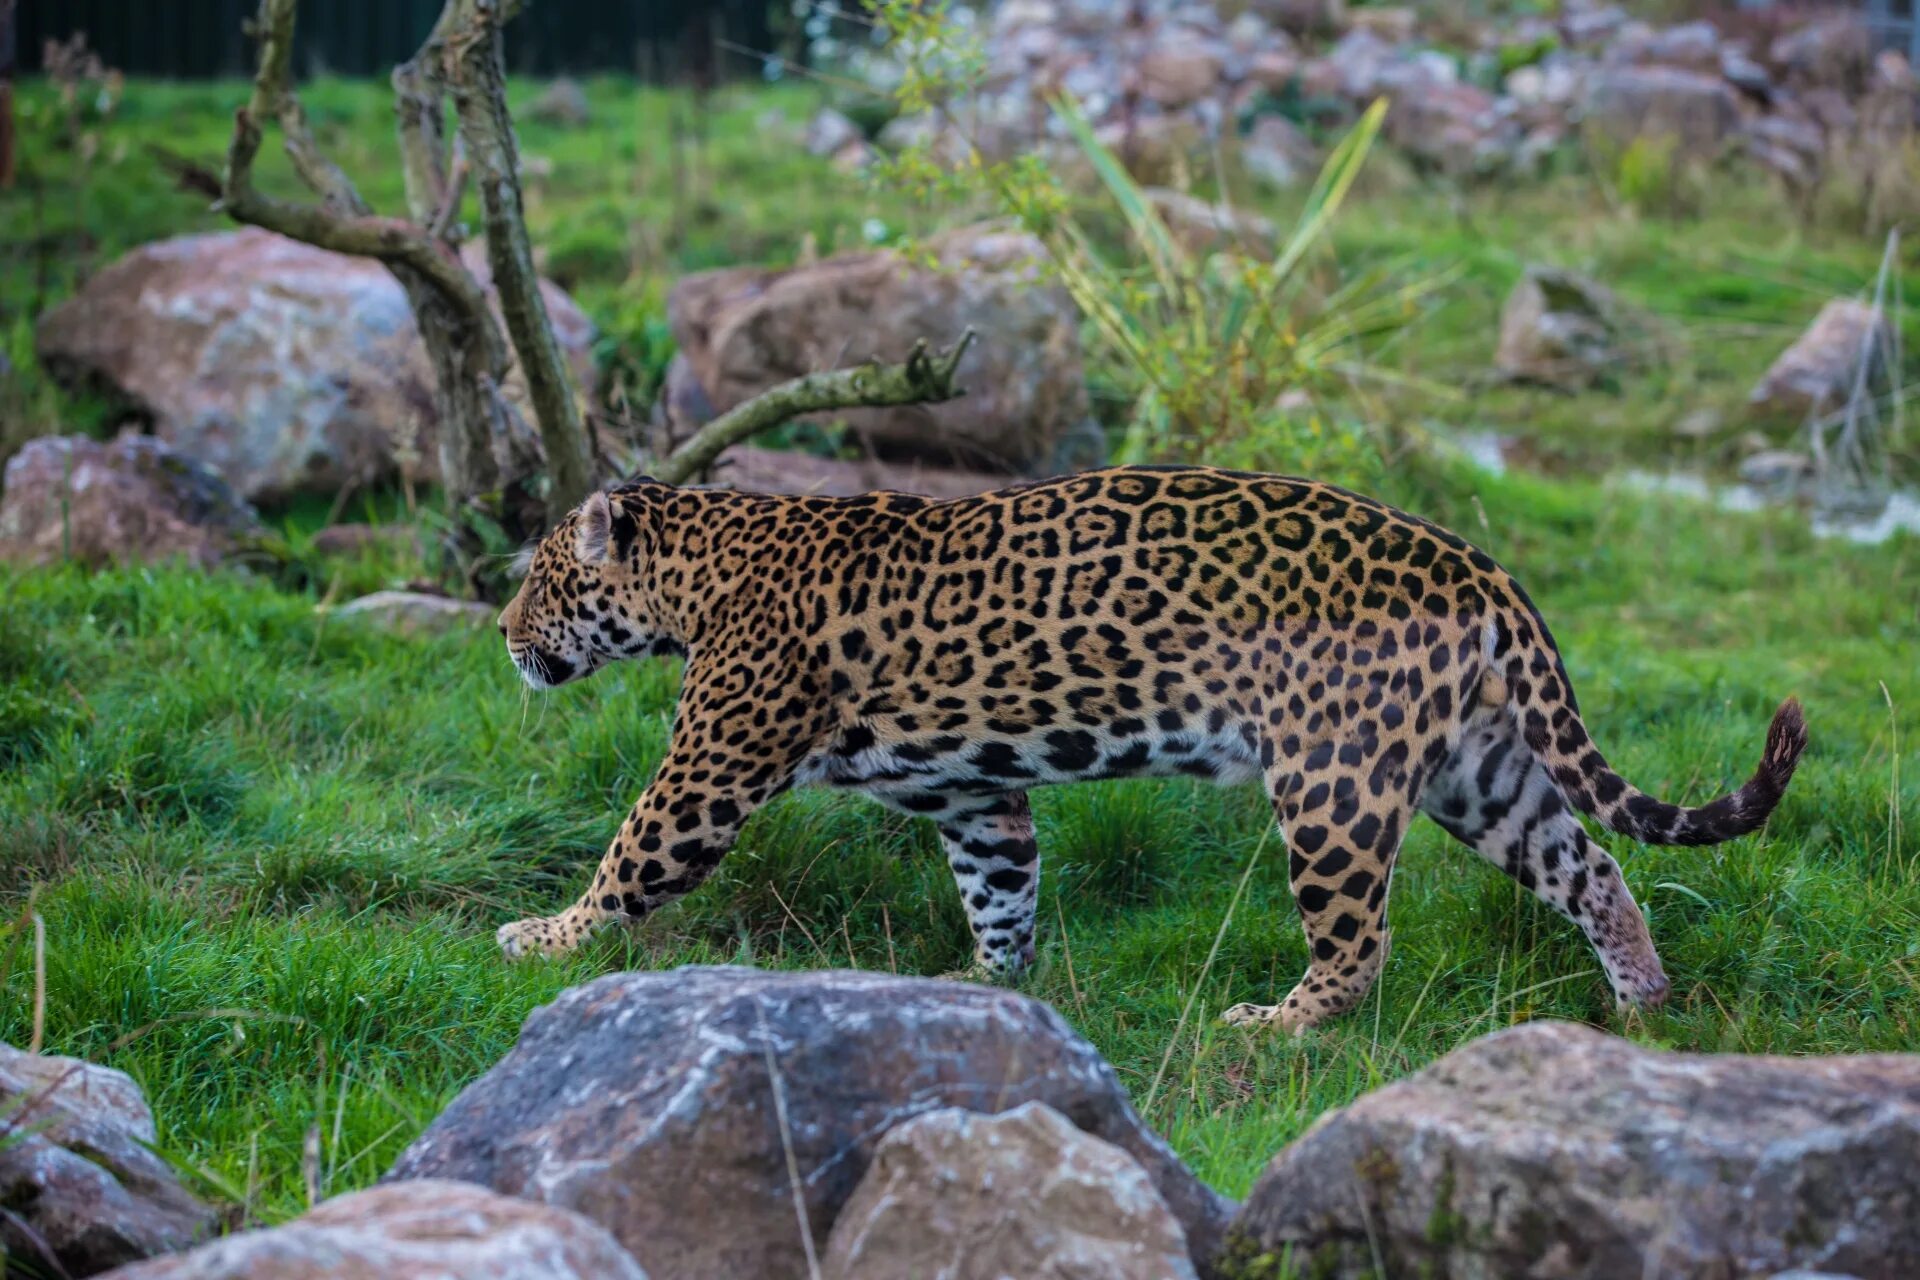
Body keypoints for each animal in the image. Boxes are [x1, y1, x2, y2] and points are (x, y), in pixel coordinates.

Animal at [491, 466, 1797, 1036]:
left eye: (540, 578)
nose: (502, 635)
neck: (698, 568)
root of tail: (1478, 566)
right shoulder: (974, 792)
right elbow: (1001, 887)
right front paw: (986, 988)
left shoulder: (710, 765)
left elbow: (631, 853)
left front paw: (544, 938)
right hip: (1480, 766)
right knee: (1592, 865)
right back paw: (1643, 998)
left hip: (1331, 779)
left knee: (1360, 937)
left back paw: (1278, 1021)